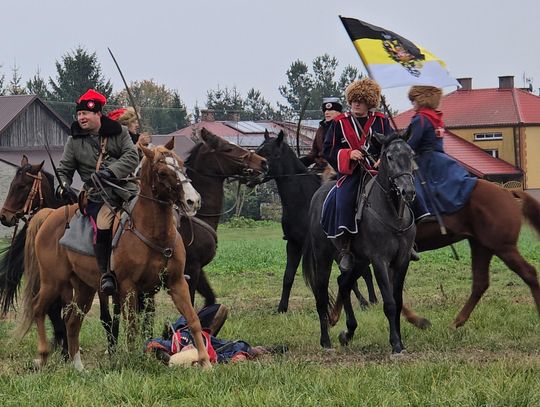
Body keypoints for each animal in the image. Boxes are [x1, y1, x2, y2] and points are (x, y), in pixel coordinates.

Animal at [12, 139, 211, 370]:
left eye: (182, 165)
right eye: (162, 172)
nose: (193, 201)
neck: (153, 232)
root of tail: (49, 216)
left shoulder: (177, 282)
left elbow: (193, 319)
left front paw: (205, 361)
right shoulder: (128, 288)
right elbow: (132, 327)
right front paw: (134, 360)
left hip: (84, 288)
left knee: (72, 321)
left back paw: (78, 367)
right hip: (52, 281)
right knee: (38, 308)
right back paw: (43, 355)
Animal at [304, 134, 418, 354]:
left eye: (411, 154)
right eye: (389, 156)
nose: (407, 191)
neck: (393, 214)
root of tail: (317, 196)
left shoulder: (402, 260)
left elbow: (398, 301)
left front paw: (400, 342)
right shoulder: (380, 260)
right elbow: (389, 303)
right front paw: (395, 344)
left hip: (359, 262)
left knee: (343, 284)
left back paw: (348, 332)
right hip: (323, 259)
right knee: (321, 296)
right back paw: (326, 342)